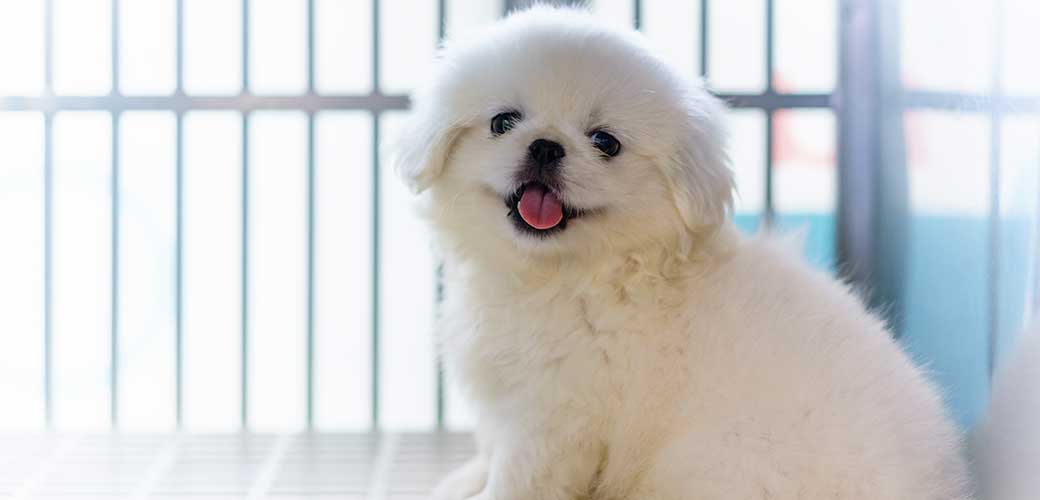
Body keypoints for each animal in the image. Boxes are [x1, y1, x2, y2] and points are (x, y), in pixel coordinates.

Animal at [397, 4, 973, 498]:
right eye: (503, 122)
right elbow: (489, 453)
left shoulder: (555, 417)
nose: (545, 145)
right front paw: (463, 481)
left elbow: (517, 478)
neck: (568, 275)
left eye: (605, 142)